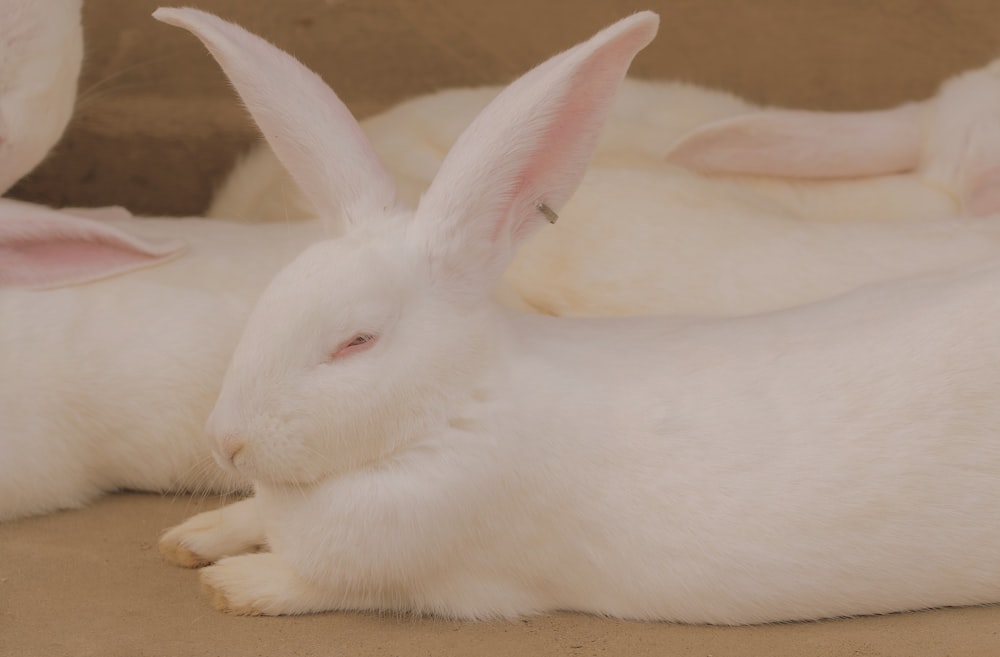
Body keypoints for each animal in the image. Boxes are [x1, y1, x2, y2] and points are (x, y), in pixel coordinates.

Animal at [156, 5, 1000, 624]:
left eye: (355, 342)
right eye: (272, 299)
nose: (226, 441)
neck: (460, 404)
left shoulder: (418, 545)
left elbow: (318, 580)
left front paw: (234, 583)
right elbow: (251, 516)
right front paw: (190, 537)